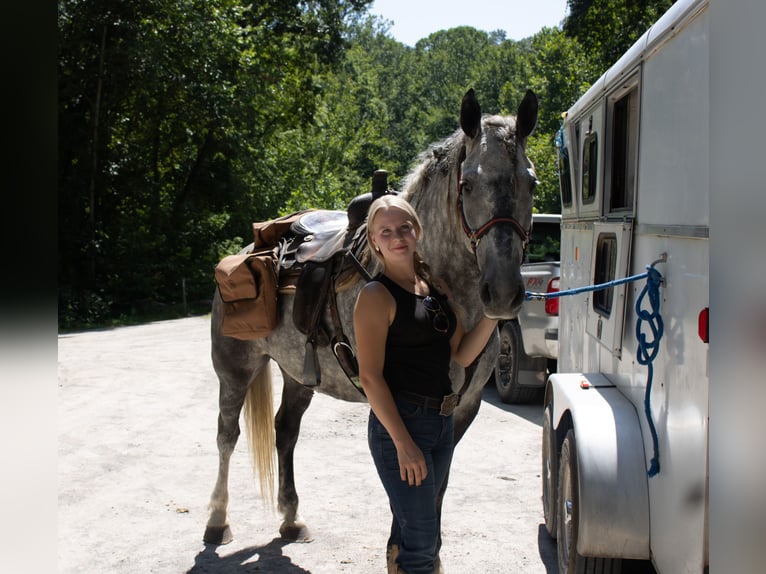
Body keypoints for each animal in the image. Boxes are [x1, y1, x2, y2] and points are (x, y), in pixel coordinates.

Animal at [204, 88, 539, 551]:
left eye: (532, 182)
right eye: (467, 183)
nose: (504, 292)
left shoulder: (462, 409)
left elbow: (437, 487)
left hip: (298, 374)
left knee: (285, 431)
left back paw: (291, 518)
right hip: (235, 370)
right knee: (226, 436)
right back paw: (217, 520)